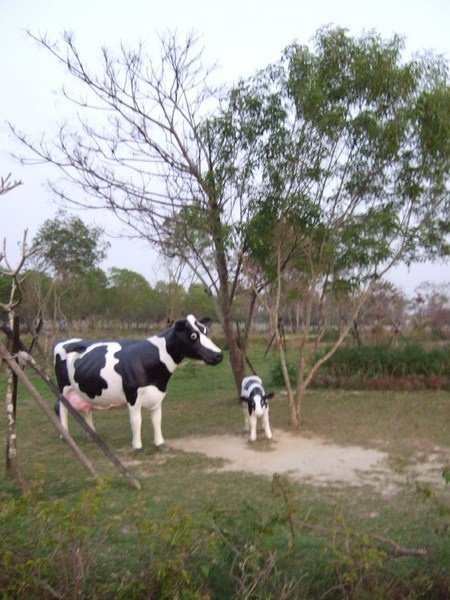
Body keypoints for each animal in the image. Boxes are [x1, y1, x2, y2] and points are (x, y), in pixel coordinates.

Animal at [54, 314, 223, 450]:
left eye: (206, 331)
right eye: (193, 336)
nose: (219, 355)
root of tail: (64, 340)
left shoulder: (158, 394)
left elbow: (157, 419)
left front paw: (160, 444)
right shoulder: (133, 395)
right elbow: (136, 421)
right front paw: (137, 446)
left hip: (85, 390)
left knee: (87, 410)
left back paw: (92, 435)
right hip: (63, 388)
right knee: (63, 409)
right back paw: (65, 436)